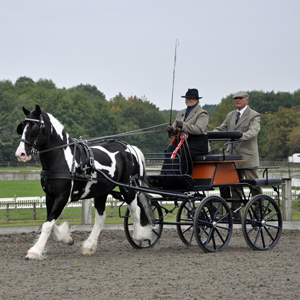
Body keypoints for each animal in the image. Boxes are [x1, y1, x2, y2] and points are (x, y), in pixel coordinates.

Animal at [15, 105, 154, 260]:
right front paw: (67, 238)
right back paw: (89, 246)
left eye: (35, 127)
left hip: (128, 188)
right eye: (22, 127)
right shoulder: (50, 196)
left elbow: (47, 225)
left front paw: (35, 251)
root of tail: (130, 148)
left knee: (135, 211)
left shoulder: (63, 197)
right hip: (102, 191)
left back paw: (140, 236)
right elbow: (49, 222)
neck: (62, 159)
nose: (20, 154)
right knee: (101, 218)